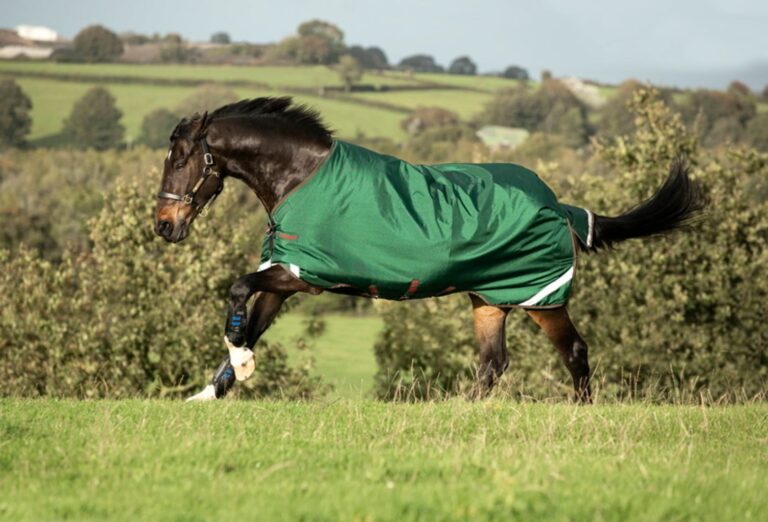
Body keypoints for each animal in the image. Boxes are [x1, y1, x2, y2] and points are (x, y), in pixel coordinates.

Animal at [154, 97, 705, 402]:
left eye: (180, 160)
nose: (163, 226)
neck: (301, 177)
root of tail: (557, 205)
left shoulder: (300, 275)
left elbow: (237, 290)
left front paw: (239, 367)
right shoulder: (286, 275)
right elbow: (251, 327)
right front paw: (209, 393)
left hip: (541, 298)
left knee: (573, 350)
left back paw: (580, 413)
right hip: (489, 300)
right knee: (492, 365)